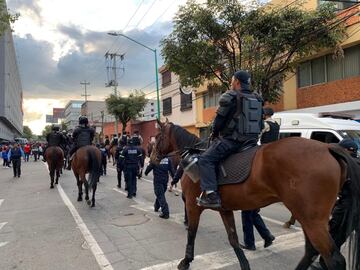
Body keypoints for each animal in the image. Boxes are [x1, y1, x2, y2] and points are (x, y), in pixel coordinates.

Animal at [153, 121, 360, 270]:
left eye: (158, 136)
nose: (153, 158)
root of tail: (328, 148)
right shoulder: (224, 209)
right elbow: (233, 239)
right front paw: (244, 264)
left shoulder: (192, 206)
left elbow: (192, 232)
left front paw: (186, 261)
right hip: (308, 217)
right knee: (311, 251)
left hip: (312, 220)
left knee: (333, 259)